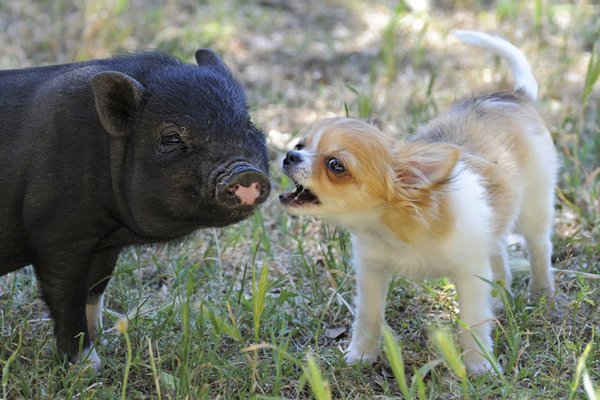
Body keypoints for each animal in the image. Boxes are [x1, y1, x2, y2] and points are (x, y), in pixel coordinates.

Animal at [0, 49, 270, 368]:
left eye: (248, 123)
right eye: (172, 137)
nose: (247, 173)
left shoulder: (103, 245)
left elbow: (96, 288)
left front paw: (104, 340)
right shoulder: (56, 236)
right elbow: (67, 300)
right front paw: (89, 366)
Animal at [280, 32, 556, 376]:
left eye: (335, 165)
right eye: (300, 144)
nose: (289, 155)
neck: (393, 228)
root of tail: (515, 97)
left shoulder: (469, 273)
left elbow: (472, 324)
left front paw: (480, 367)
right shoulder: (371, 270)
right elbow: (368, 316)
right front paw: (360, 356)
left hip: (535, 205)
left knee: (539, 247)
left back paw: (541, 294)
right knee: (499, 251)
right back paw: (499, 296)